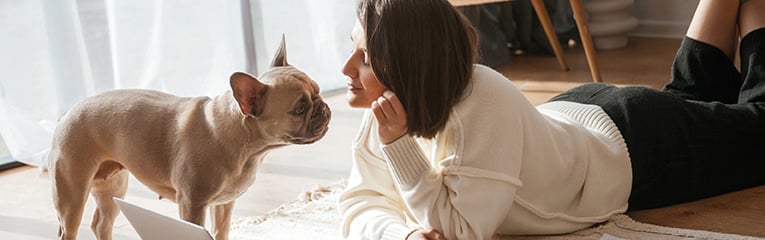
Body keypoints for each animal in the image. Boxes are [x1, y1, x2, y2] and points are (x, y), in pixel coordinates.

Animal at [49, 36, 330, 240]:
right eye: (300, 108)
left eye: (317, 90)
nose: (324, 107)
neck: (244, 141)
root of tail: (66, 114)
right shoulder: (193, 204)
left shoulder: (224, 204)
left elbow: (221, 231)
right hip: (73, 195)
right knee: (70, 229)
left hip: (113, 189)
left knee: (101, 224)